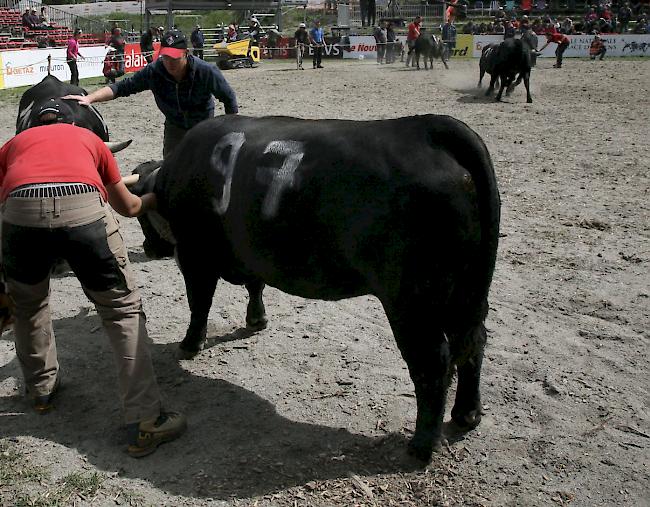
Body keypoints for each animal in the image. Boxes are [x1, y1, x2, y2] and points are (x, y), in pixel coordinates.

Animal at [128, 115, 502, 464]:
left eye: (141, 217)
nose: (149, 248)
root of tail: (427, 126)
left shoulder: (194, 255)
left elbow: (199, 302)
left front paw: (190, 343)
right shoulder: (252, 251)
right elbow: (255, 285)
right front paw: (256, 320)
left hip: (412, 302)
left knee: (434, 363)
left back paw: (422, 446)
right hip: (466, 292)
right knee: (474, 343)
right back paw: (467, 414)